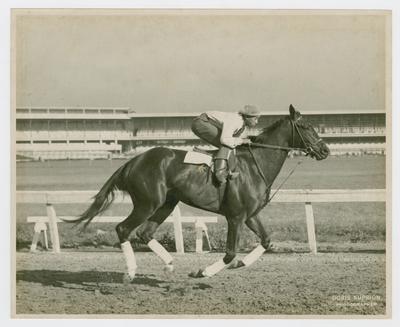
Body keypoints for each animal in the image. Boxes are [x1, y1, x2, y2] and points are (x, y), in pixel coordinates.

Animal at [65, 105, 328, 280]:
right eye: (306, 126)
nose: (325, 150)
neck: (255, 165)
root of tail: (132, 162)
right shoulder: (235, 217)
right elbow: (229, 253)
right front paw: (202, 272)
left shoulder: (250, 215)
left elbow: (266, 240)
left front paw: (242, 263)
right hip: (147, 203)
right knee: (123, 229)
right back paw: (130, 273)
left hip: (166, 203)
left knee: (144, 233)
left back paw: (169, 264)